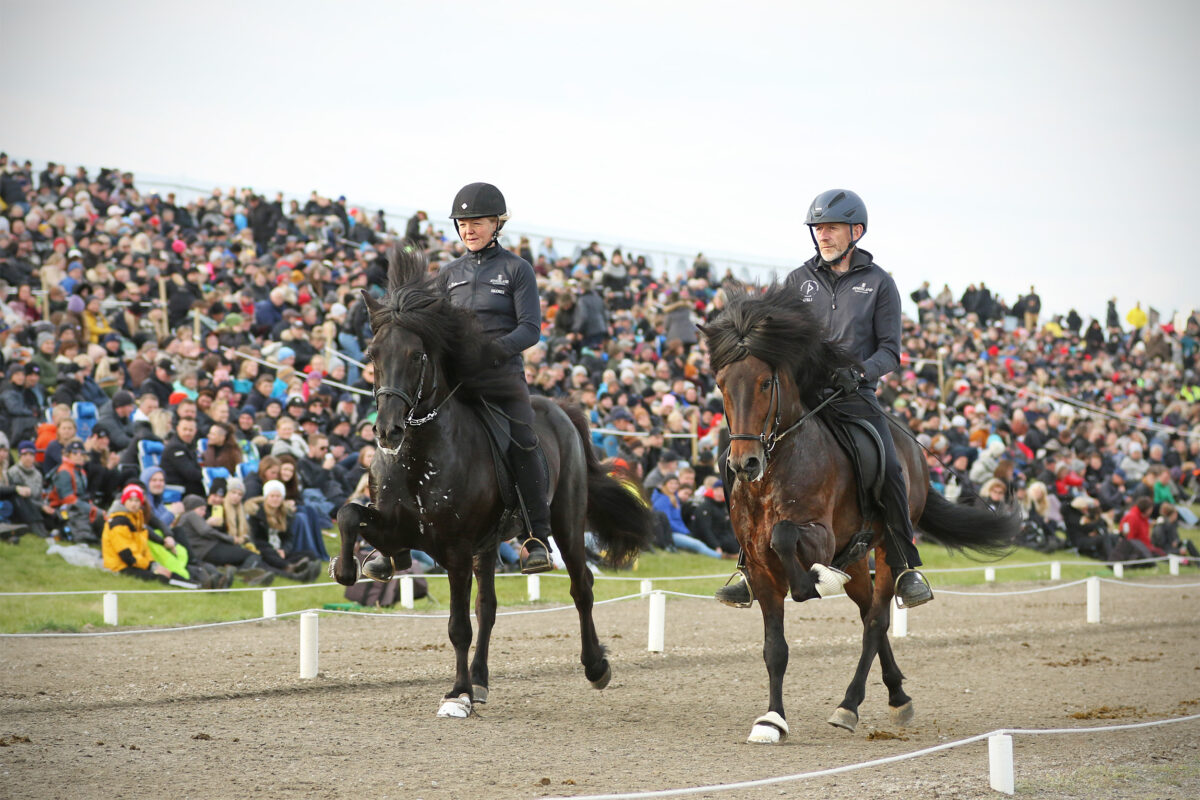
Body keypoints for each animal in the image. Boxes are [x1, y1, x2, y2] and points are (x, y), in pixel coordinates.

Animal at [331, 244, 657, 719]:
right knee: (489, 608)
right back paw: (482, 682)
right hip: (487, 546)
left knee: (581, 586)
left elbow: (457, 626)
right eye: (372, 354)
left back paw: (595, 666)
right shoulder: (401, 529)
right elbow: (349, 513)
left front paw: (456, 694)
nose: (388, 430)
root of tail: (560, 409)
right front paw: (349, 567)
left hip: (565, 523)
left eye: (417, 356)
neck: (421, 454)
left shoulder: (456, 549)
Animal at [700, 283, 1017, 743]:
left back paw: (849, 705)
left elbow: (786, 538)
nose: (745, 464)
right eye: (722, 384)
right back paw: (897, 695)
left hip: (884, 547)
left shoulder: (818, 536)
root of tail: (914, 452)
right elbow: (775, 649)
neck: (777, 466)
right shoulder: (758, 567)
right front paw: (772, 721)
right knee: (870, 613)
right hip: (855, 554)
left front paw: (814, 583)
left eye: (764, 382)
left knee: (875, 621)